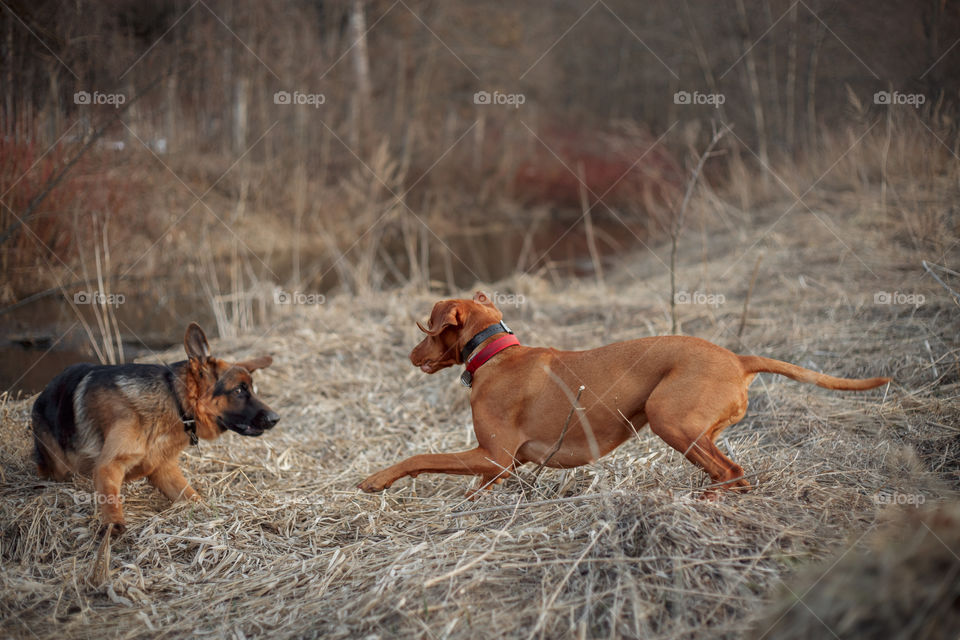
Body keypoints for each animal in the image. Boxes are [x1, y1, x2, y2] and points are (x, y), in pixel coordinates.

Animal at [31, 322, 280, 532]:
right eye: (238, 391)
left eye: (252, 389)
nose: (276, 418)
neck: (175, 402)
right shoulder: (108, 465)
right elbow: (110, 498)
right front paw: (113, 526)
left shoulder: (164, 470)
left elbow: (193, 496)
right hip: (60, 465)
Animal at [360, 292, 892, 498]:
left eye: (426, 329)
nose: (409, 353)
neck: (494, 353)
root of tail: (739, 360)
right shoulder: (498, 467)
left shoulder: (493, 457)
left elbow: (420, 457)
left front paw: (376, 480)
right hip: (692, 427)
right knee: (735, 473)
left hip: (668, 417)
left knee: (731, 472)